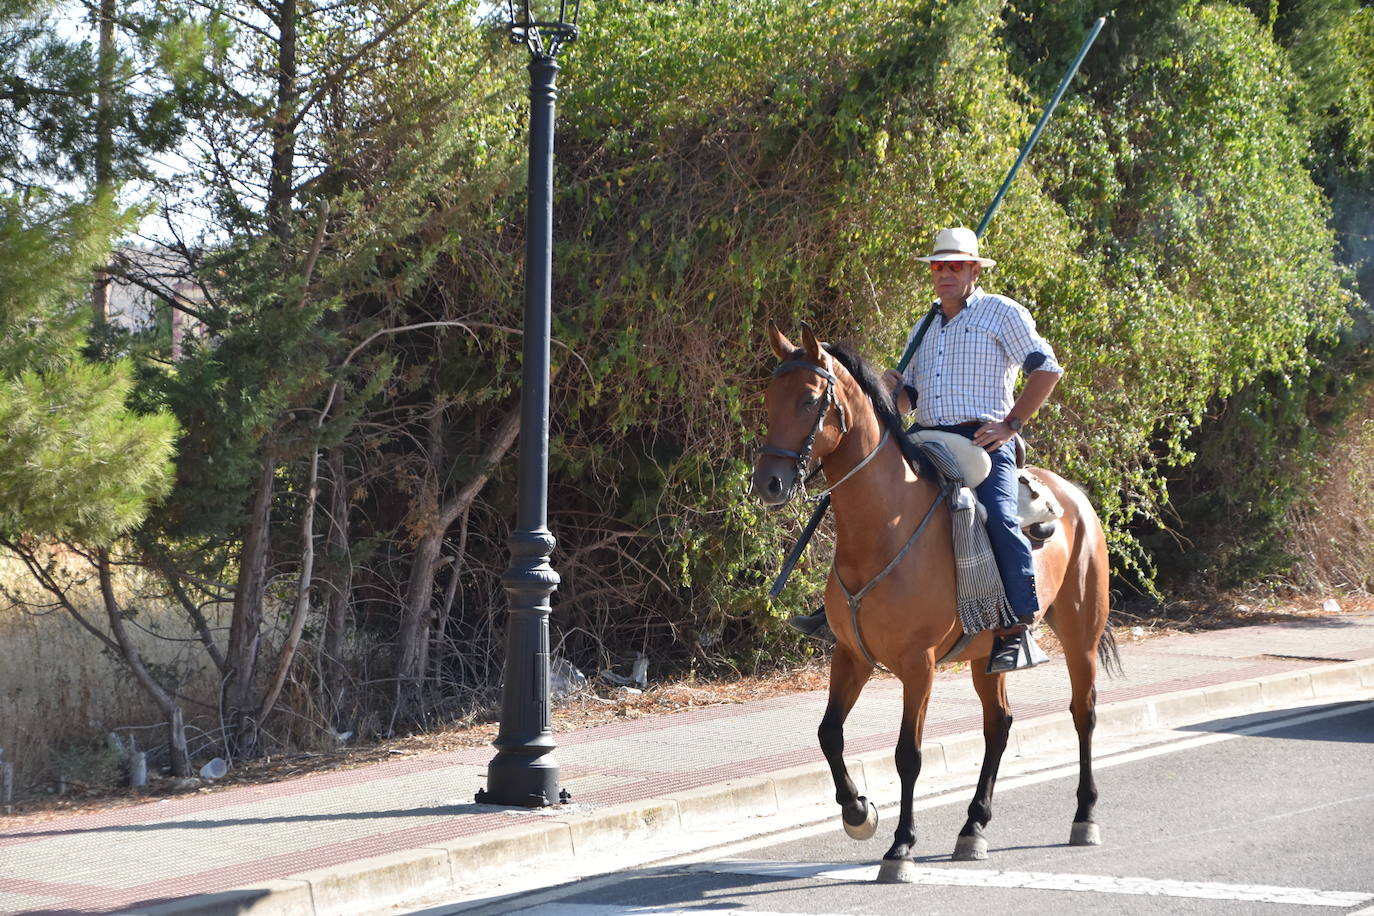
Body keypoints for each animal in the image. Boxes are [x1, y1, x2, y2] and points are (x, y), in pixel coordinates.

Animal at [752, 322, 1115, 878]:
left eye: (811, 399)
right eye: (769, 398)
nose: (768, 482)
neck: (884, 527)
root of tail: (1074, 495)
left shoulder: (918, 664)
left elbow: (909, 754)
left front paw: (901, 846)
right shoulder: (851, 655)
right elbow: (829, 733)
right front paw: (858, 812)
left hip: (1081, 634)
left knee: (1084, 713)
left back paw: (1085, 816)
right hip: (988, 655)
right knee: (998, 724)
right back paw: (973, 826)